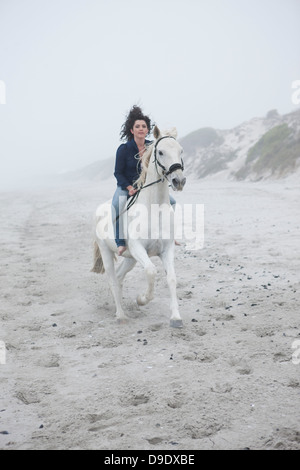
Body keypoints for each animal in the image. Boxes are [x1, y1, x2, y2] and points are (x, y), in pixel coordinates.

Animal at [91, 126, 185, 328]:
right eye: (160, 152)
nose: (179, 181)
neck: (154, 209)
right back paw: (120, 315)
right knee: (112, 279)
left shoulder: (167, 250)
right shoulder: (138, 248)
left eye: (180, 151)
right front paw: (142, 299)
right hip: (108, 252)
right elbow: (151, 271)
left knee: (119, 277)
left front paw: (175, 317)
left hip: (130, 258)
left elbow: (171, 278)